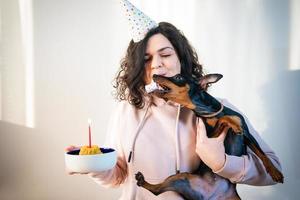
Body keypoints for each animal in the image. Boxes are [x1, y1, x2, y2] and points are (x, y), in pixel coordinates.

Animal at [136, 74, 284, 200]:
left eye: (178, 77)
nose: (155, 75)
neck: (209, 112)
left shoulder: (248, 135)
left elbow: (262, 154)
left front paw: (275, 173)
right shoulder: (211, 138)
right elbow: (223, 120)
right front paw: (232, 124)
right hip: (180, 178)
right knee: (156, 191)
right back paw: (142, 180)